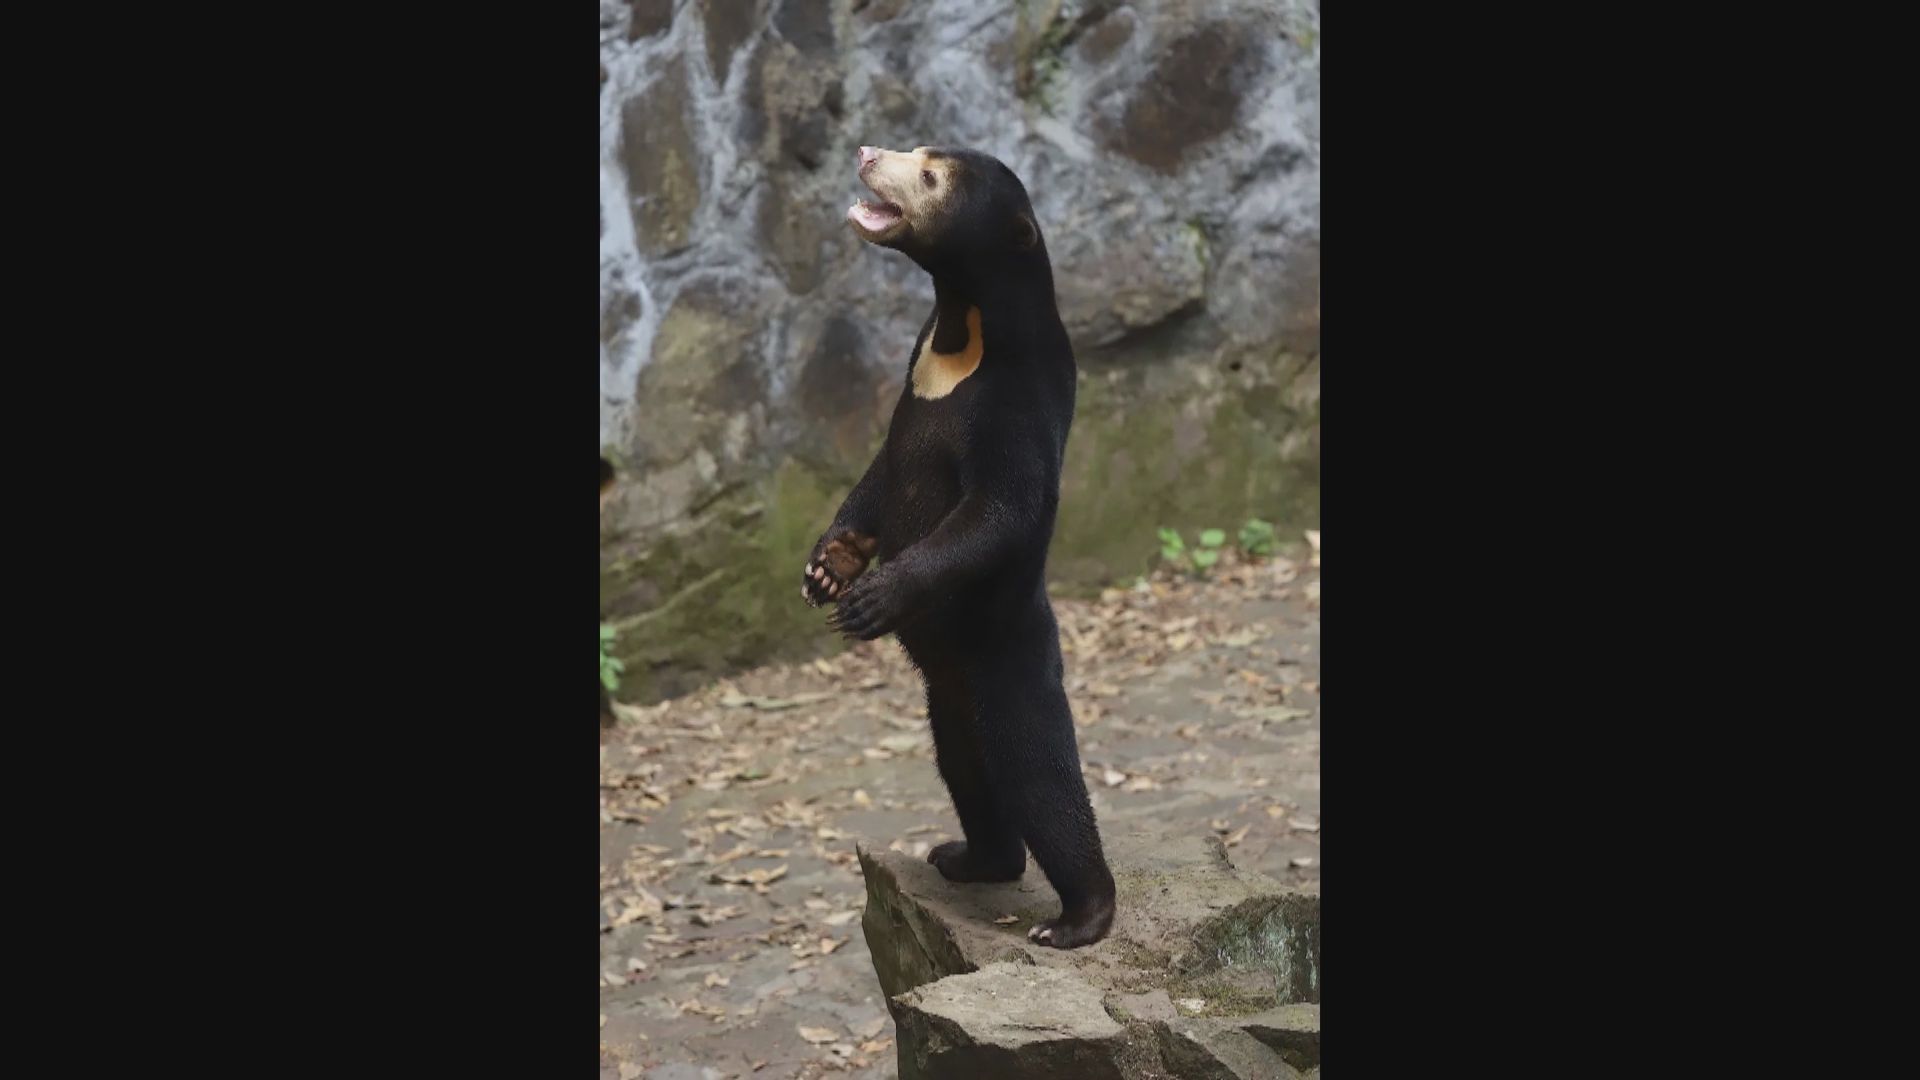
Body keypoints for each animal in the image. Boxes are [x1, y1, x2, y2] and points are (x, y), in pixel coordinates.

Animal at [801, 145, 1117, 948]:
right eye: (919, 149)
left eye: (930, 177)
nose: (865, 152)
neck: (960, 325)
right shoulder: (912, 379)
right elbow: (882, 472)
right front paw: (827, 569)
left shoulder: (1015, 398)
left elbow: (998, 508)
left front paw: (872, 598)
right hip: (948, 697)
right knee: (966, 768)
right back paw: (969, 858)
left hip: (1005, 660)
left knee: (1037, 775)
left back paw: (1080, 918)